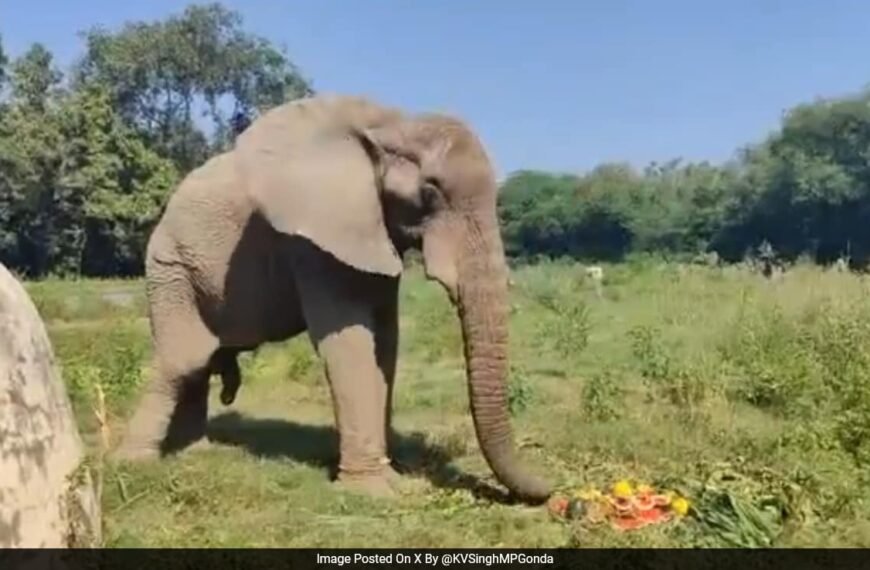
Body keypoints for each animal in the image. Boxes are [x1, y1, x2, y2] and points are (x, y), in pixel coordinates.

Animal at [114, 93, 552, 502]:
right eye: (430, 191)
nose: (553, 491)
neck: (393, 125)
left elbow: (385, 343)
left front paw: (390, 476)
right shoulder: (315, 242)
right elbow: (349, 341)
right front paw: (373, 491)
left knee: (199, 361)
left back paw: (196, 452)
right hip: (170, 267)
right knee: (184, 358)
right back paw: (134, 462)